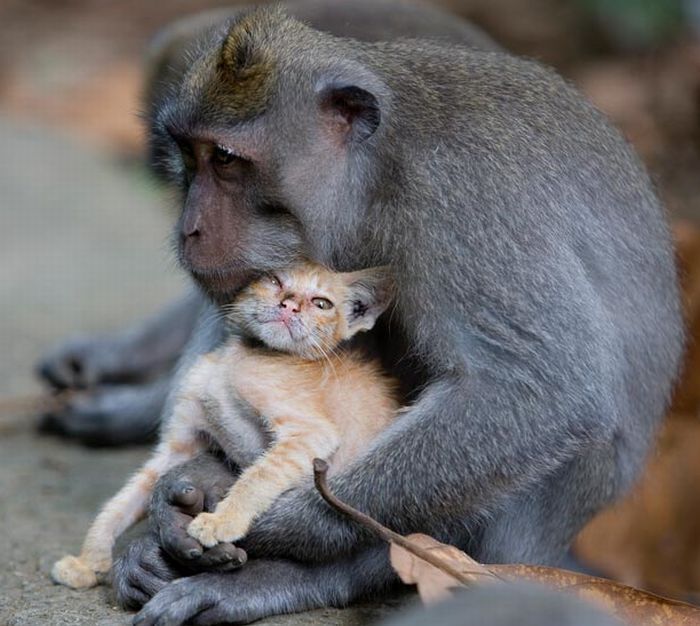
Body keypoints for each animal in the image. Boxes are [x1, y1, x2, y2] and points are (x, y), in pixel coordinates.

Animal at [52, 258, 400, 584]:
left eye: (322, 303)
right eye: (275, 281)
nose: (290, 304)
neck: (241, 356)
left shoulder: (310, 433)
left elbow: (258, 475)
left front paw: (221, 522)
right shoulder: (180, 443)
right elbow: (126, 498)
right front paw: (88, 561)